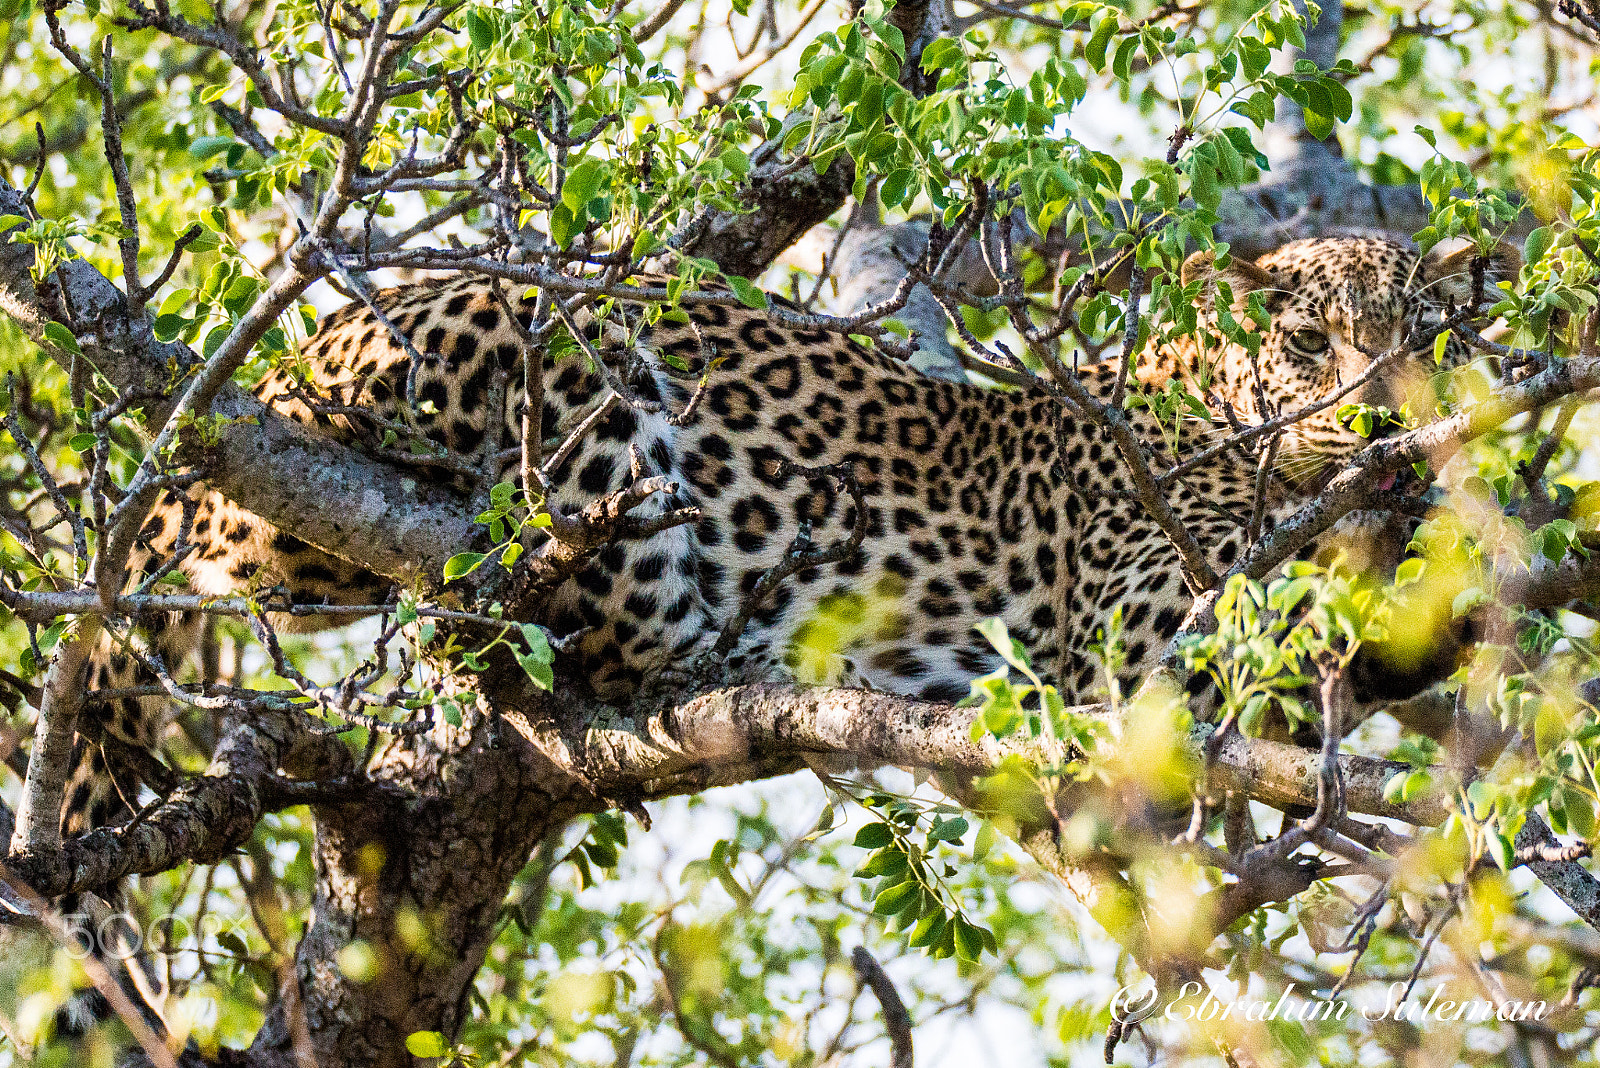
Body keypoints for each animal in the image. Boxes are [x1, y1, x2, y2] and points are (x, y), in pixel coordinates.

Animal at [62, 234, 1514, 835]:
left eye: (1429, 340)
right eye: (1309, 344)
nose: (1382, 417)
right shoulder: (1131, 624)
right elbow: (1267, 626)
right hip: (560, 369)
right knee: (587, 632)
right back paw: (751, 647)